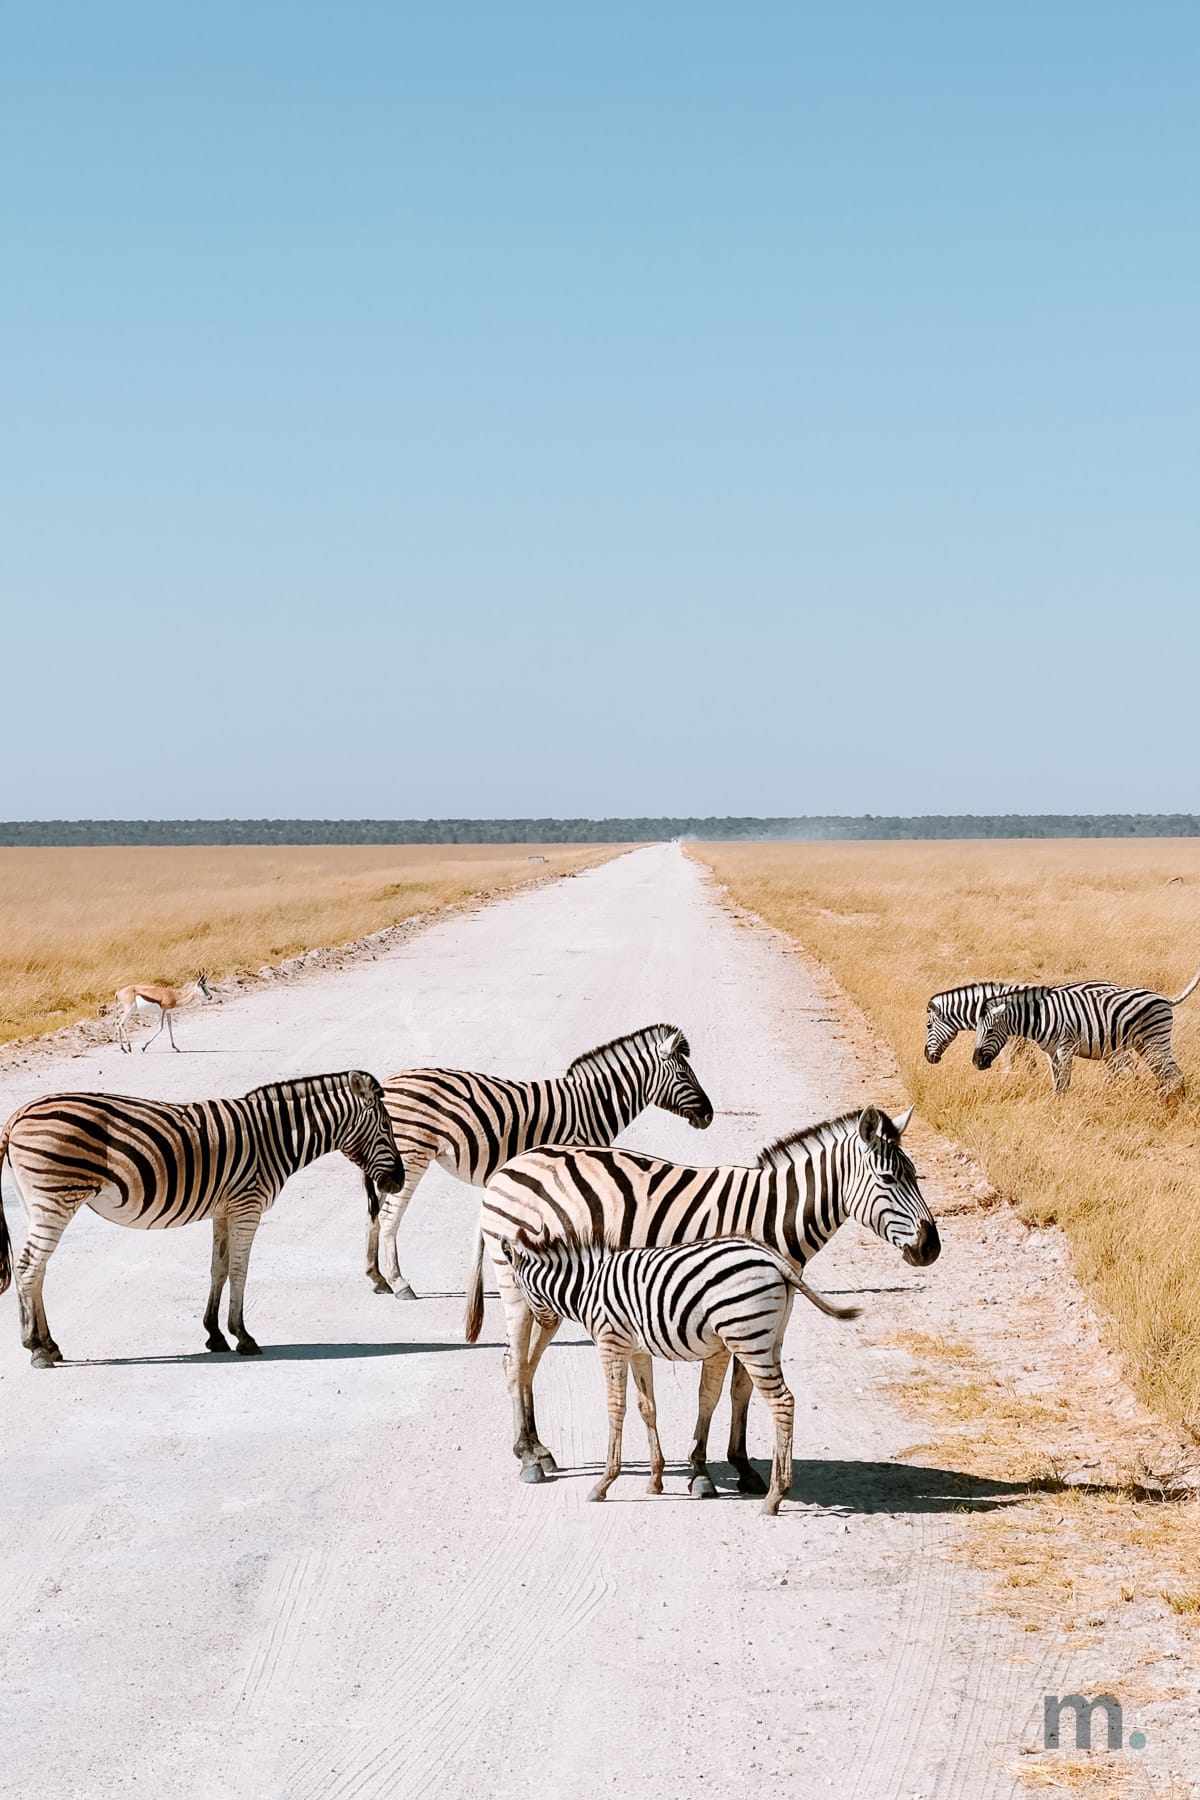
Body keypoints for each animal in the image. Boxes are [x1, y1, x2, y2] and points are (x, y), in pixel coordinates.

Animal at [0, 1071, 405, 1366]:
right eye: (387, 1129)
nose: (398, 1181)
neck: (276, 1137)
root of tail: (16, 1117)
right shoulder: (247, 1206)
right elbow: (240, 1271)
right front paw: (243, 1335)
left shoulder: (224, 1210)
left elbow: (219, 1269)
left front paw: (214, 1334)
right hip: (55, 1197)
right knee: (29, 1267)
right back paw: (36, 1348)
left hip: (38, 1203)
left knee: (36, 1270)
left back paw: (49, 1344)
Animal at [368, 1024, 713, 1299]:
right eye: (684, 1075)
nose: (710, 1115)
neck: (592, 1106)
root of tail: (387, 1085)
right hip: (412, 1154)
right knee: (388, 1216)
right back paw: (399, 1283)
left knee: (376, 1213)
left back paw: (377, 1278)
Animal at [500, 1231, 859, 1514]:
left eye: (518, 1287)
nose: (543, 1322)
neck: (587, 1285)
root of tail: (774, 1258)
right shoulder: (638, 1348)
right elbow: (647, 1407)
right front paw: (655, 1479)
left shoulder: (611, 1342)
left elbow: (616, 1408)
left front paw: (603, 1483)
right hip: (772, 1338)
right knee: (783, 1400)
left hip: (747, 1336)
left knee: (782, 1402)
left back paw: (774, 1497)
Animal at [972, 970, 1200, 1094]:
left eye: (989, 1030)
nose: (976, 1062)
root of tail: (1165, 998)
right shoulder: (1043, 1049)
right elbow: (1051, 1076)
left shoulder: (1059, 1046)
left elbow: (1060, 1079)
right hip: (1135, 1044)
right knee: (1154, 1072)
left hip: (1151, 1041)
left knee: (1166, 1072)